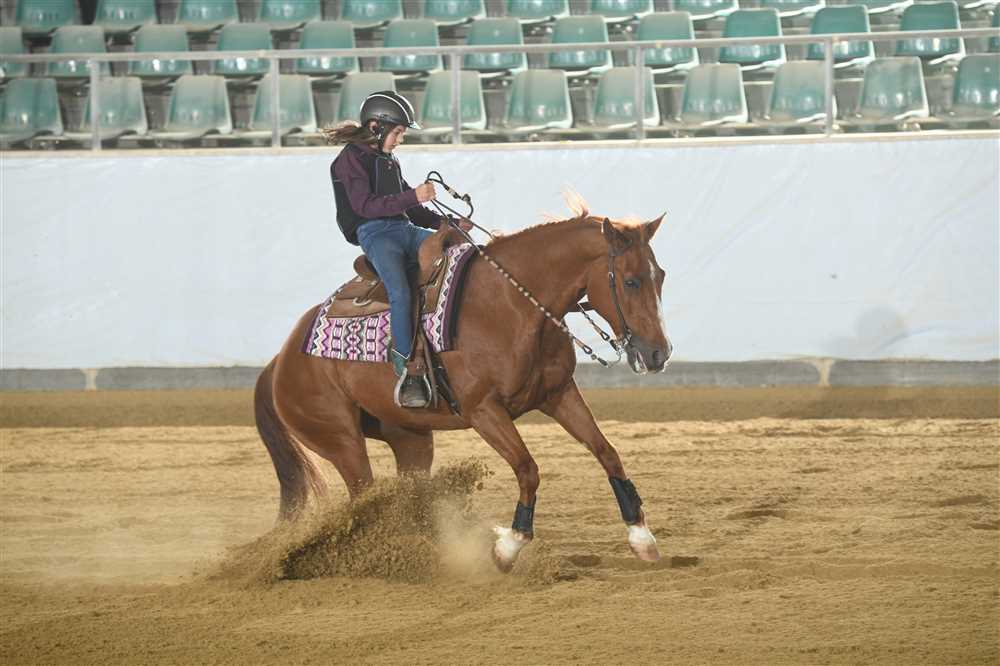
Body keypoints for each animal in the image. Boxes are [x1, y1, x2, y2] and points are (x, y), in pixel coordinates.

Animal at [254, 203, 673, 571]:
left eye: (661, 275)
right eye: (631, 281)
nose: (659, 353)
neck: (511, 304)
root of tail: (279, 361)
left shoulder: (558, 394)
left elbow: (607, 452)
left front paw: (642, 537)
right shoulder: (484, 410)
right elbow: (527, 468)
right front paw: (507, 547)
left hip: (412, 441)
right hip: (341, 441)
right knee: (363, 497)